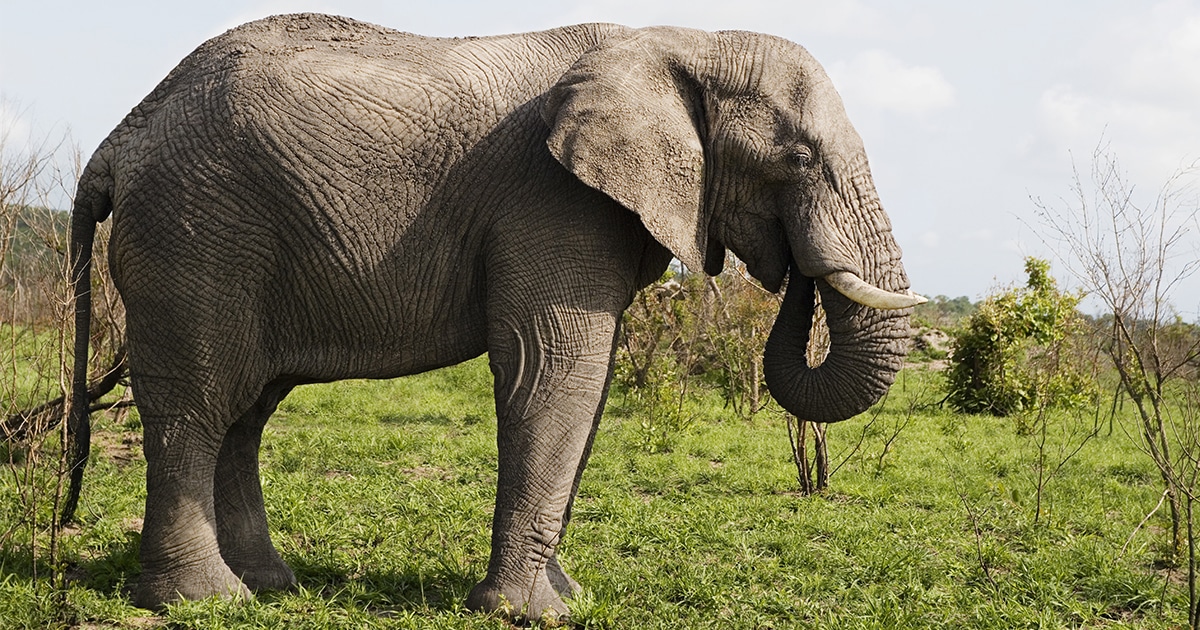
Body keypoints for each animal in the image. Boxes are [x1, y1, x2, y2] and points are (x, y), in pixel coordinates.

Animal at [65, 12, 921, 614]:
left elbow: (588, 385)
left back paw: (273, 585)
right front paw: (527, 613)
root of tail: (119, 138)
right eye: (796, 159)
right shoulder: (549, 199)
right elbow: (554, 368)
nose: (796, 268)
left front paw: (566, 597)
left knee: (246, 412)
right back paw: (205, 601)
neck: (678, 42)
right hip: (195, 238)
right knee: (199, 404)